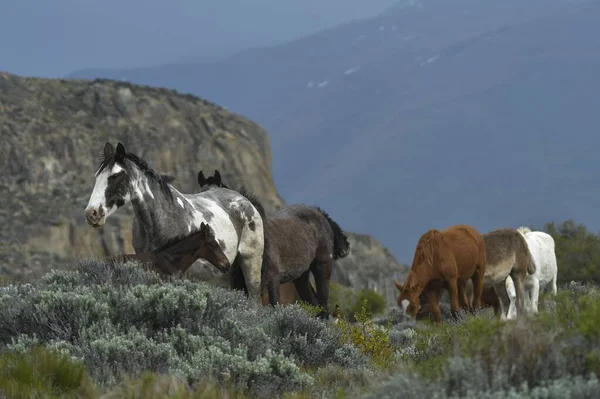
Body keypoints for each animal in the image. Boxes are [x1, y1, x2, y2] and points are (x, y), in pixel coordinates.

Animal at [84, 142, 264, 302]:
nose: (91, 213)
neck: (161, 220)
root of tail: (244, 201)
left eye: (115, 176)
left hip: (250, 263)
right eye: (97, 176)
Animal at [197, 170, 350, 318]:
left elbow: (274, 305)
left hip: (322, 266)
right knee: (314, 302)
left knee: (323, 305)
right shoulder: (238, 283)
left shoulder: (272, 280)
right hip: (301, 277)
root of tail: (322, 215)